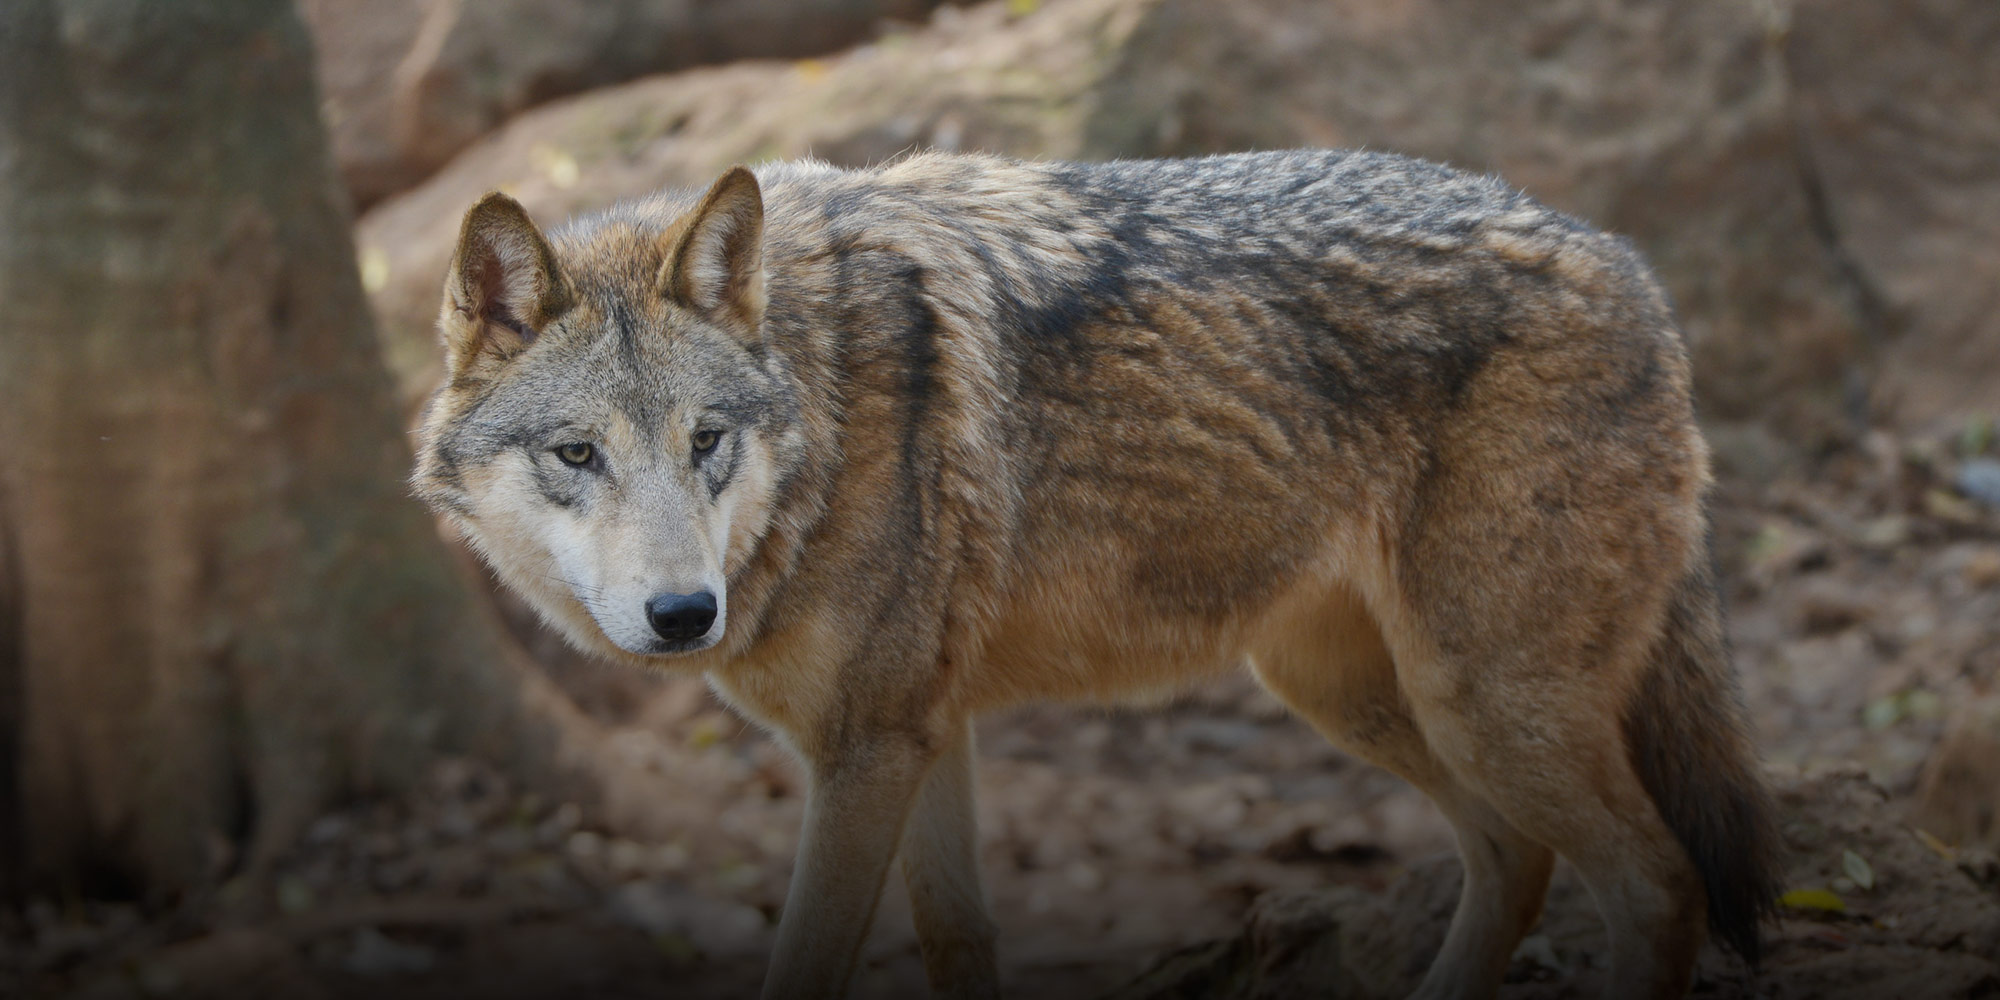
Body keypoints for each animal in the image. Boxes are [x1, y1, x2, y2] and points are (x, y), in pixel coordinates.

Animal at [412, 149, 1779, 999]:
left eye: (705, 440)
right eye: (577, 453)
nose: (683, 613)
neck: (829, 397)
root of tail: (1631, 267)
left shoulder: (868, 749)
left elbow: (809, 963)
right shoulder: (918, 737)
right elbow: (958, 940)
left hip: (1479, 701)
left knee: (1655, 882)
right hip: (1351, 695)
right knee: (1514, 857)